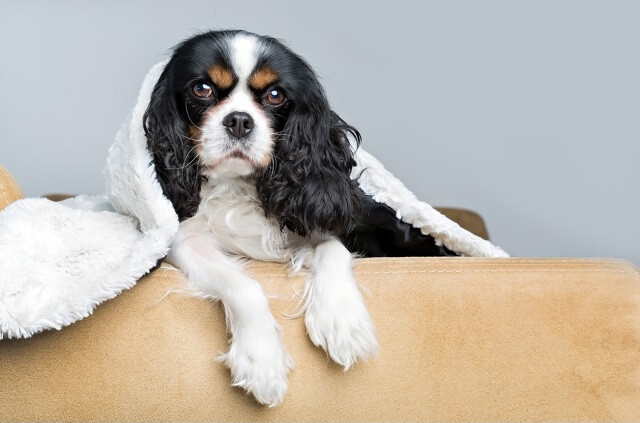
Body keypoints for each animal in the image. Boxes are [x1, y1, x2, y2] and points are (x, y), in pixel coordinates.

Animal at [142, 29, 378, 408]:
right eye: (202, 88)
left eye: (275, 95)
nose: (239, 120)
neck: (238, 185)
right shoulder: (186, 240)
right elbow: (244, 286)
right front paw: (261, 362)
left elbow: (333, 249)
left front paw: (343, 323)